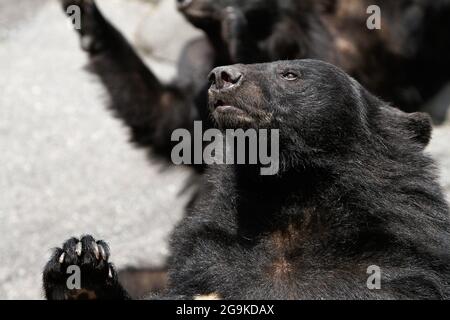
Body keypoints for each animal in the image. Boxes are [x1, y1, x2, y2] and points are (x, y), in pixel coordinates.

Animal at [42, 59, 450, 300]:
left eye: (289, 73)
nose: (221, 76)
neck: (291, 195)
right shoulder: (213, 260)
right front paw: (79, 268)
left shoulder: (399, 264)